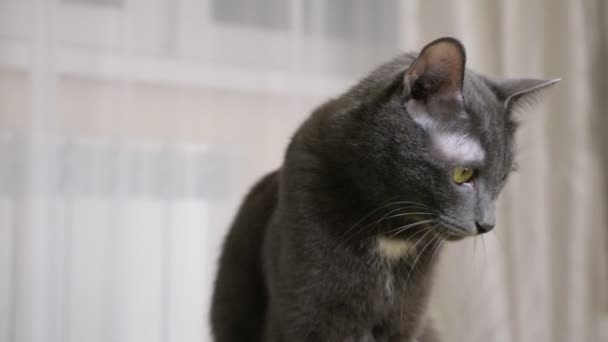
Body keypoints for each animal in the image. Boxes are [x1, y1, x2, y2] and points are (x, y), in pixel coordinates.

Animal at [210, 38, 560, 342]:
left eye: (503, 178)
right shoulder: (302, 316)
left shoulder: (406, 320)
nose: (487, 224)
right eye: (463, 174)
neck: (390, 233)